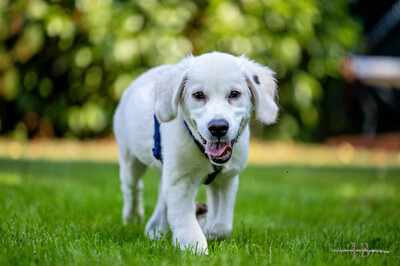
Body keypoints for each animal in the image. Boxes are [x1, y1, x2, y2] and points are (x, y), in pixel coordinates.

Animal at [113, 51, 278, 252]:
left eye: (234, 94)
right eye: (198, 95)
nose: (218, 127)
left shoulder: (227, 179)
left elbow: (222, 226)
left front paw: (206, 226)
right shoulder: (180, 183)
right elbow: (186, 225)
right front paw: (195, 249)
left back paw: (155, 230)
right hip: (130, 160)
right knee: (132, 187)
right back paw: (133, 216)